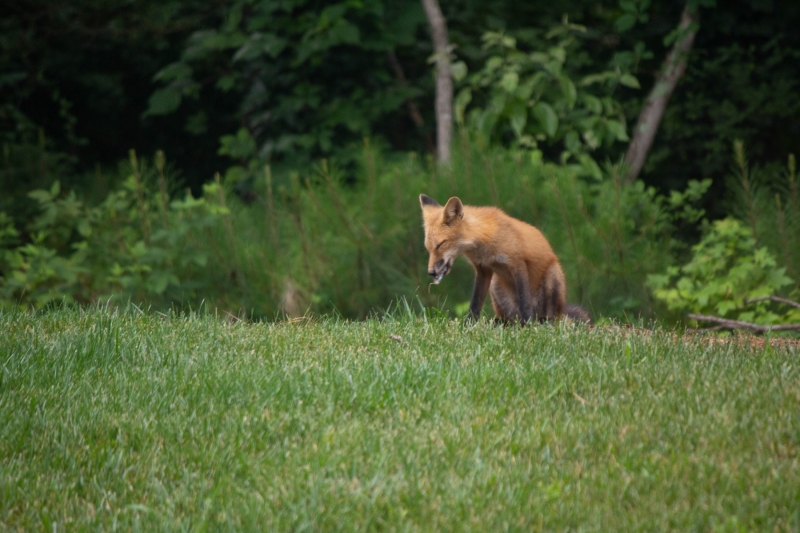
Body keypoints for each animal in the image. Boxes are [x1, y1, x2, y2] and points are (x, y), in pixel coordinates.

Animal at [419, 194, 591, 324]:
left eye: (440, 244)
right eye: (428, 247)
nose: (431, 272)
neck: (484, 241)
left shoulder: (517, 263)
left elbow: (524, 301)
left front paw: (528, 326)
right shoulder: (483, 270)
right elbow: (475, 304)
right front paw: (468, 325)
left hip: (552, 277)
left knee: (550, 318)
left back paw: (539, 322)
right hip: (496, 284)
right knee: (508, 318)